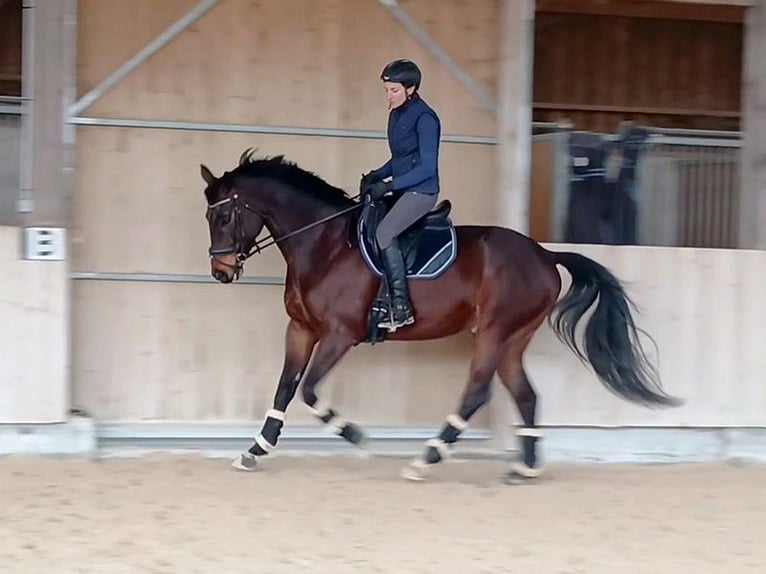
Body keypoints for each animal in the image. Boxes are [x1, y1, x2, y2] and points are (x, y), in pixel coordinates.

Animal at [200, 148, 680, 483]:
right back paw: (523, 468)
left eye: (224, 216)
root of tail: (545, 254)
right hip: (512, 339)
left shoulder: (338, 335)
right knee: (526, 396)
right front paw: (255, 450)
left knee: (477, 393)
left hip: (493, 332)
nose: (221, 271)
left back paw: (426, 458)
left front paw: (355, 434)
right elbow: (285, 388)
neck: (324, 244)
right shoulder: (300, 329)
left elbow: (310, 391)